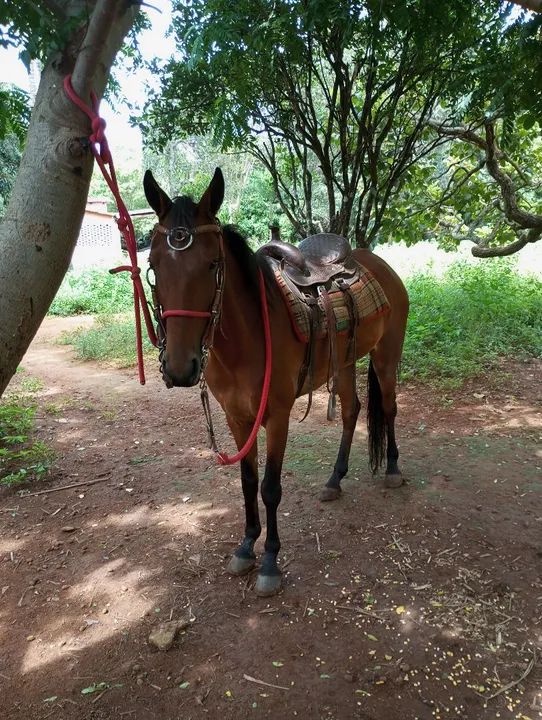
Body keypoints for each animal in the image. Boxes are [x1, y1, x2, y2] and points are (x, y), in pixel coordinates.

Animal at [143, 167, 409, 597]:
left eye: (213, 264)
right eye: (153, 264)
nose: (180, 368)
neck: (247, 336)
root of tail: (377, 263)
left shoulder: (278, 415)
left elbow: (270, 487)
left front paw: (270, 561)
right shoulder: (237, 418)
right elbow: (248, 480)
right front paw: (246, 546)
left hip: (387, 355)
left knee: (388, 406)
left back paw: (393, 471)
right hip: (345, 362)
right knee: (351, 410)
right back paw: (334, 479)